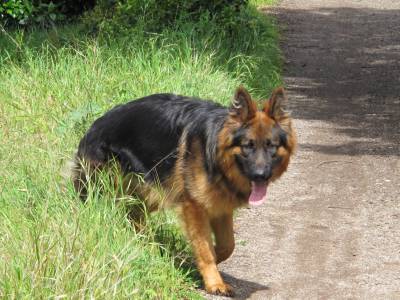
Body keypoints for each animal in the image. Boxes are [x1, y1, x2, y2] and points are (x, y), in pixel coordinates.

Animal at [72, 86, 296, 296]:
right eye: (248, 146)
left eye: (271, 146)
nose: (260, 175)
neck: (216, 155)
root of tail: (94, 126)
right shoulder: (194, 206)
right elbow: (206, 250)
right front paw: (213, 282)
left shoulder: (221, 207)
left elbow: (227, 246)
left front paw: (192, 261)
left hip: (152, 193)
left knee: (134, 215)